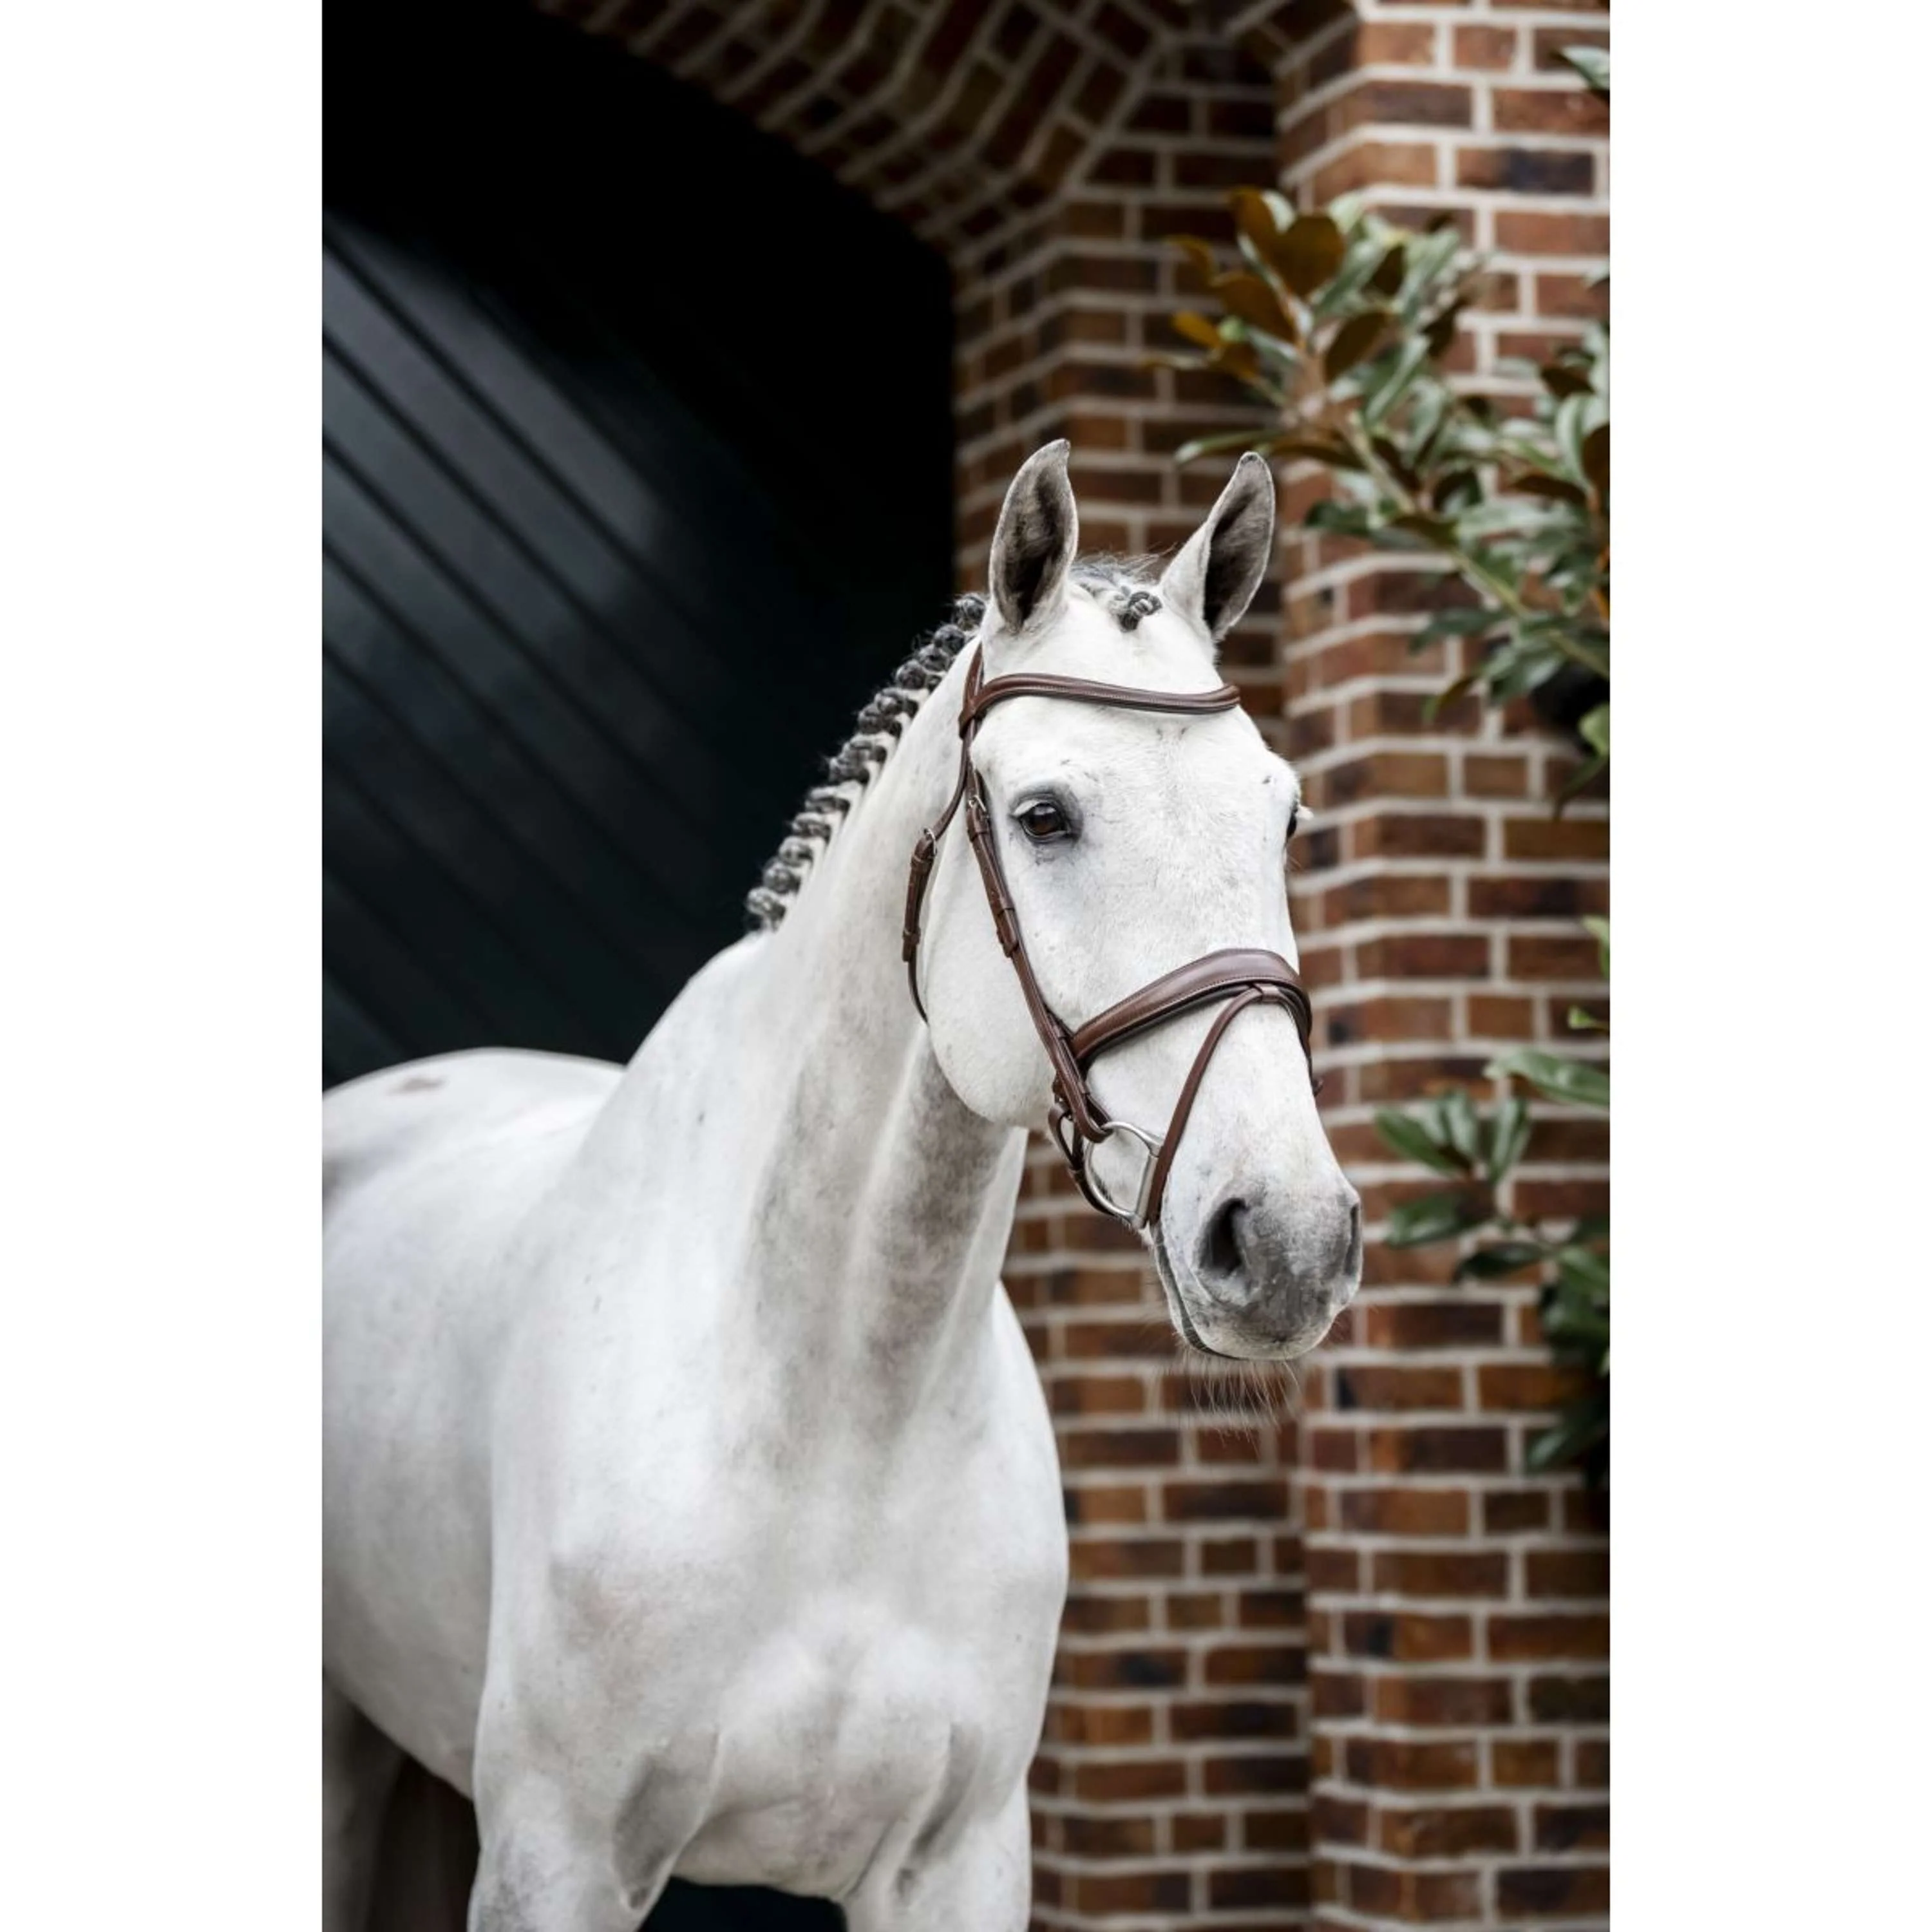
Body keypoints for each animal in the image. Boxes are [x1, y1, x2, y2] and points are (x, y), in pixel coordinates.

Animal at [322, 440, 1362, 1931]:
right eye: (1045, 817)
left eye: (1283, 816)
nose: (1285, 1242)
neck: (835, 1416)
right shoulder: (557, 1859)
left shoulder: (957, 1862)